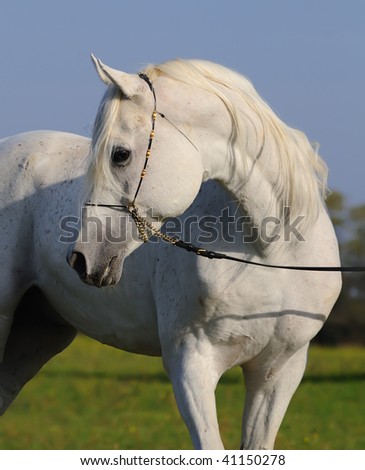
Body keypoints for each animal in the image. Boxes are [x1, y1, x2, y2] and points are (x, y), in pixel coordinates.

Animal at [0, 57, 342, 450]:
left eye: (120, 154)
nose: (81, 259)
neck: (270, 251)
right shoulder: (191, 365)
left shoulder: (279, 371)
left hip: (36, 336)